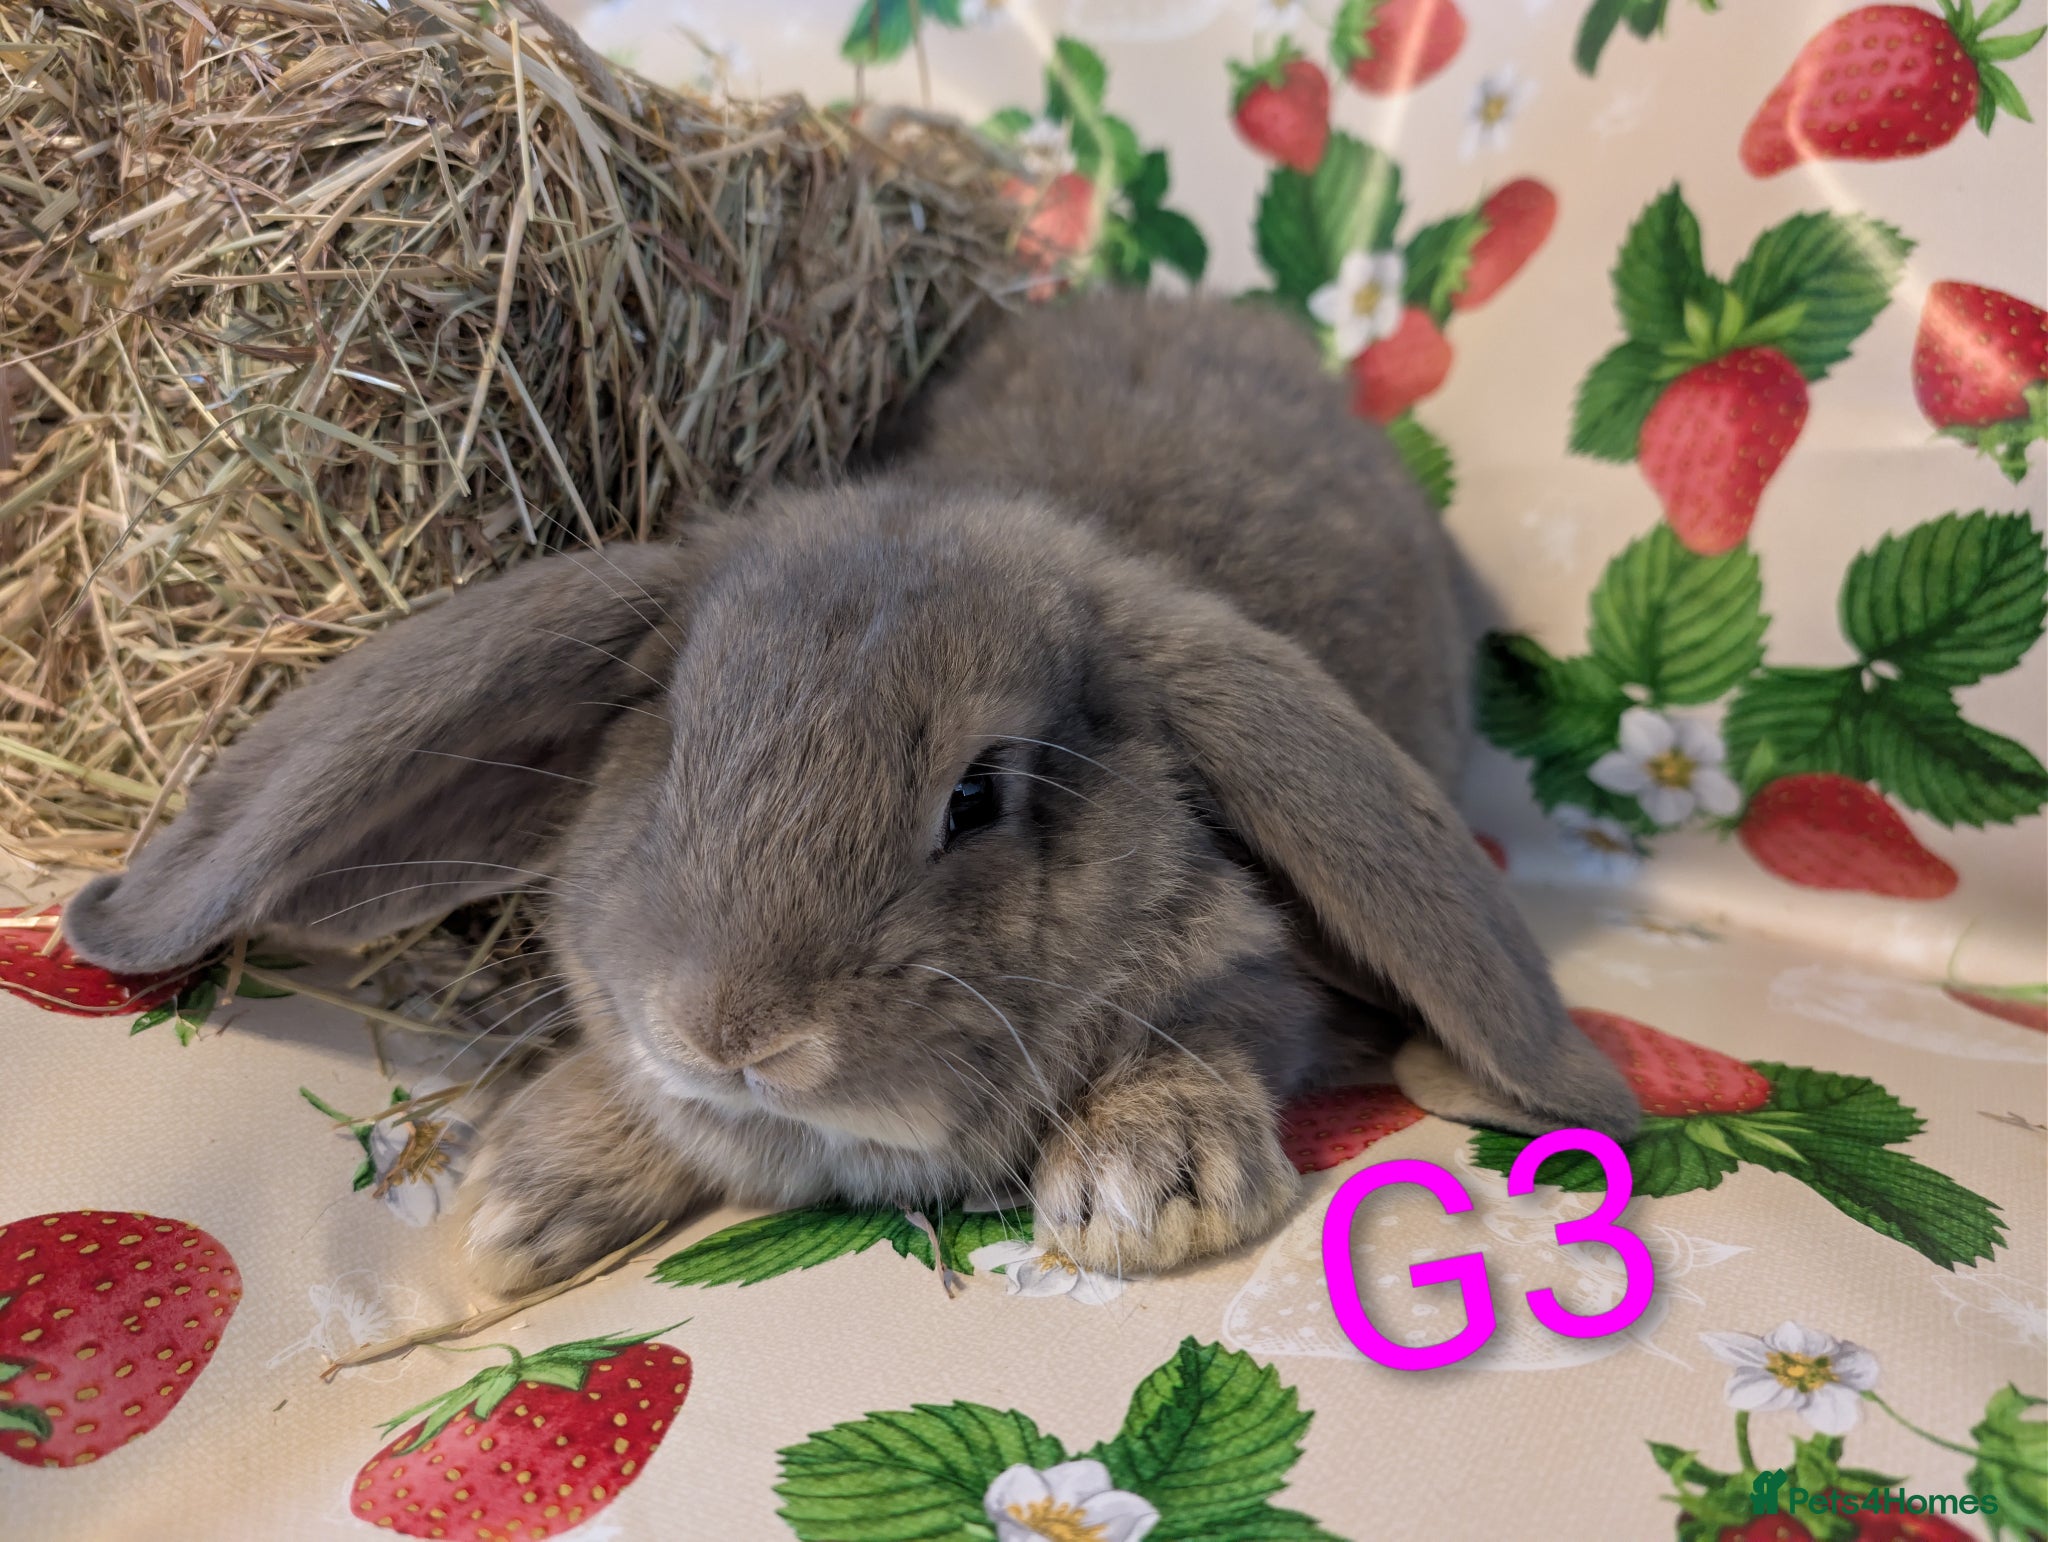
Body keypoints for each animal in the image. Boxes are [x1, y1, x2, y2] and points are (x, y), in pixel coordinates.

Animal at [63, 291, 1640, 1296]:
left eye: (978, 795)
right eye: (674, 743)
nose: (734, 1033)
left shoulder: (1262, 983)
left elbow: (1216, 1030)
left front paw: (1147, 1192)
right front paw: (522, 1203)